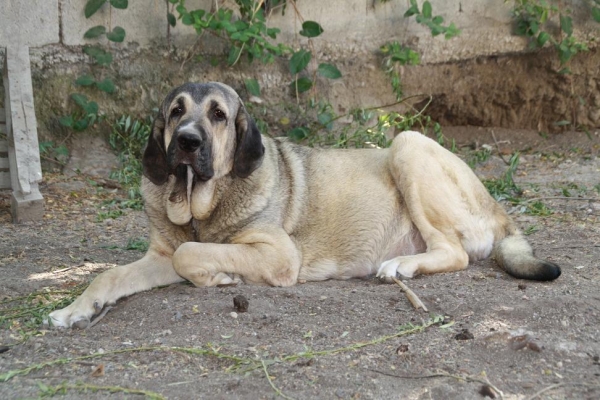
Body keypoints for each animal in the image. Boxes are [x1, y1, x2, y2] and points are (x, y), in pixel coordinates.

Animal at [49, 82, 560, 328]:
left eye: (218, 114)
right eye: (176, 112)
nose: (188, 142)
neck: (202, 206)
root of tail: (497, 207)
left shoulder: (277, 254)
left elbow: (190, 253)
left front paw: (220, 275)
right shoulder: (158, 255)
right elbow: (112, 273)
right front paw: (77, 309)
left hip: (407, 144)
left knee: (454, 252)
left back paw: (402, 266)